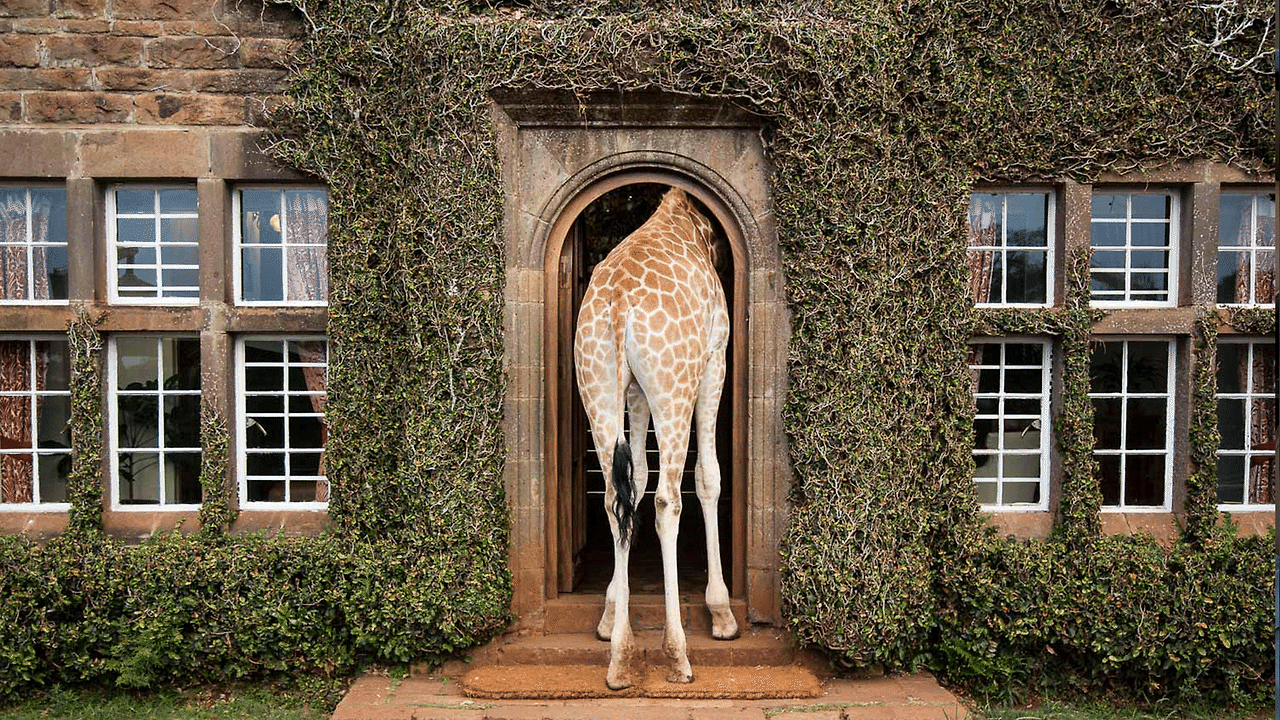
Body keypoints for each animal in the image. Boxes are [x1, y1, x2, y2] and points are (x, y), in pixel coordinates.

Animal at [573, 186, 738, 690]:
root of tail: (619, 302)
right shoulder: (715, 359)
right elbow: (708, 478)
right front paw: (722, 612)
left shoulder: (634, 390)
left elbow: (638, 478)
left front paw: (610, 611)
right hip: (676, 382)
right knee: (669, 498)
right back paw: (677, 653)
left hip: (596, 381)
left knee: (614, 497)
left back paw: (620, 657)